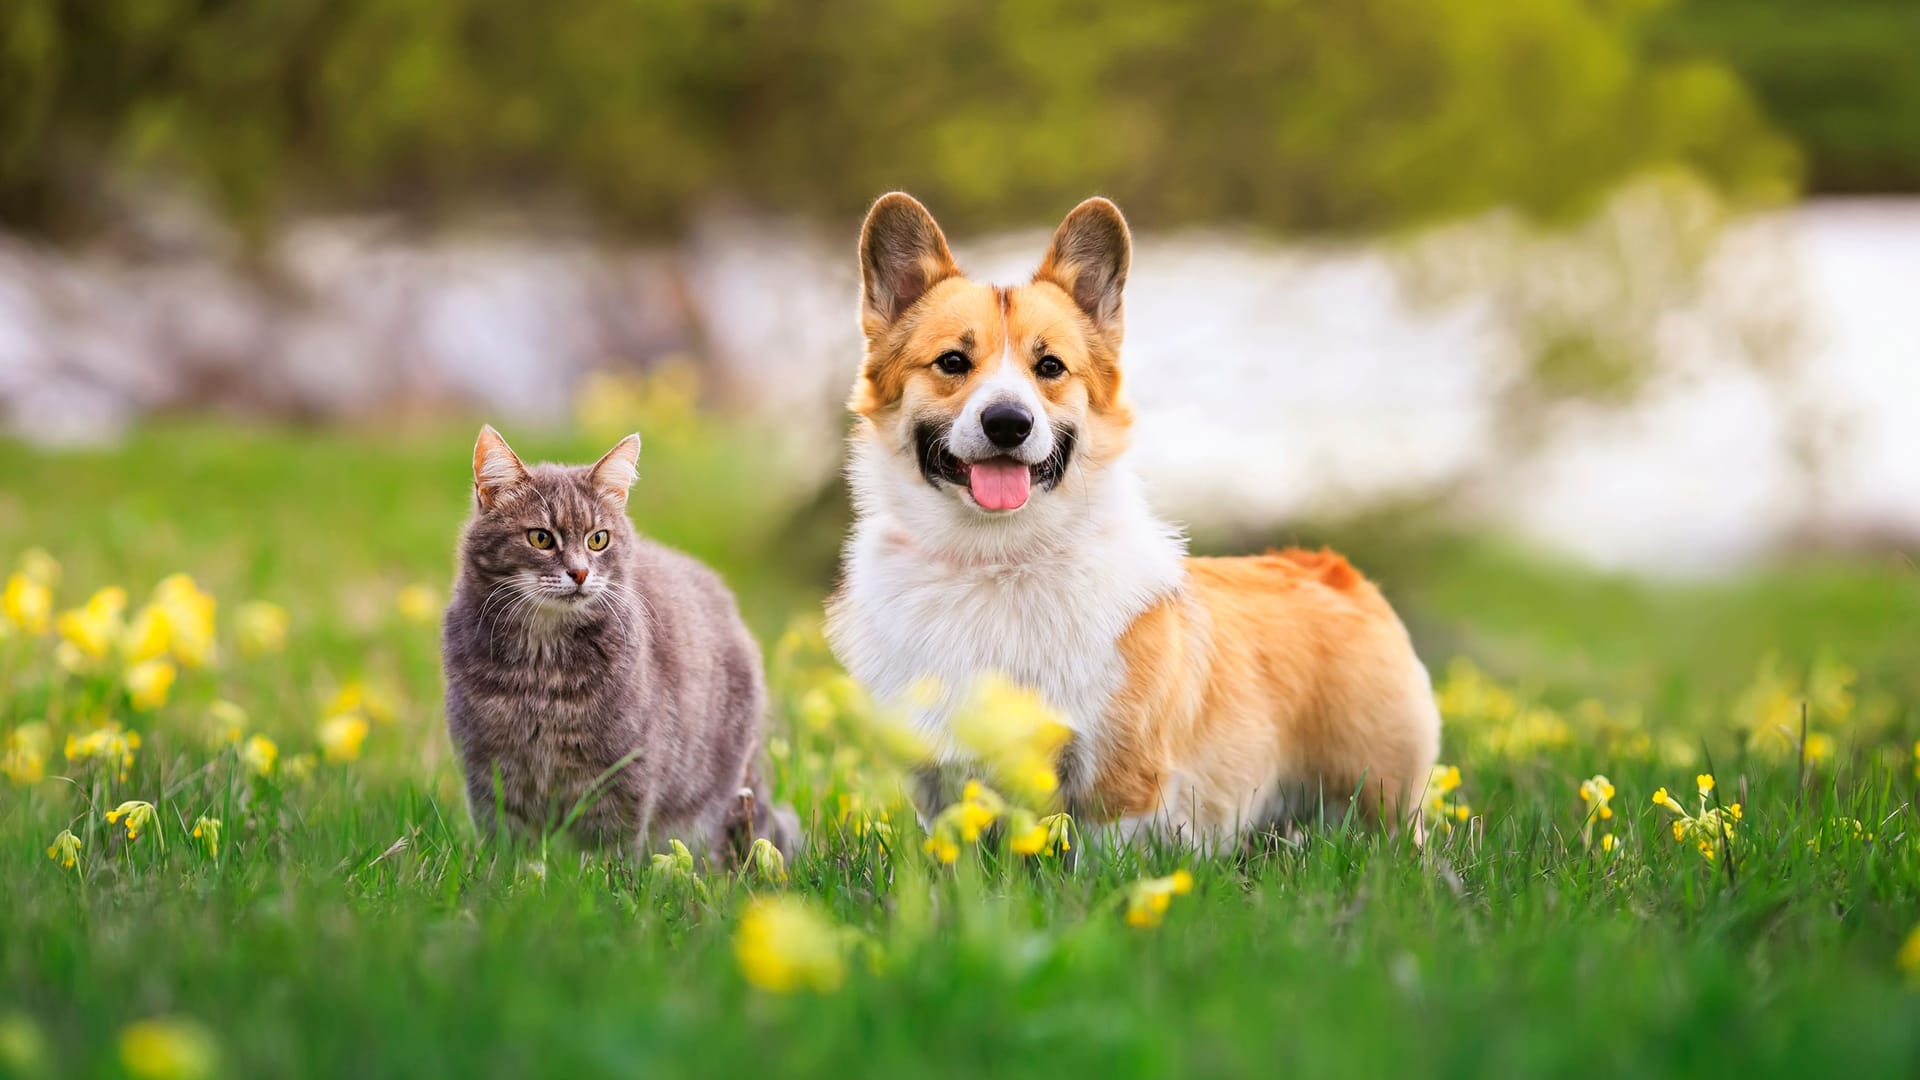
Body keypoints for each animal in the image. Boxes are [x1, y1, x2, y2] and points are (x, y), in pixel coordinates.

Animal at [441, 422, 794, 857]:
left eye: (598, 539)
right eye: (541, 538)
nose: (579, 573)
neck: (542, 666)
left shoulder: (623, 768)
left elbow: (609, 843)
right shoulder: (488, 764)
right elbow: (508, 839)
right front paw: (512, 870)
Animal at [825, 191, 1443, 841]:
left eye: (1050, 367)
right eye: (951, 361)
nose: (1008, 423)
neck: (995, 559)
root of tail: (1334, 571)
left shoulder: (1118, 780)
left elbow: (1100, 853)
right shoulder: (936, 783)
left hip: (1380, 797)